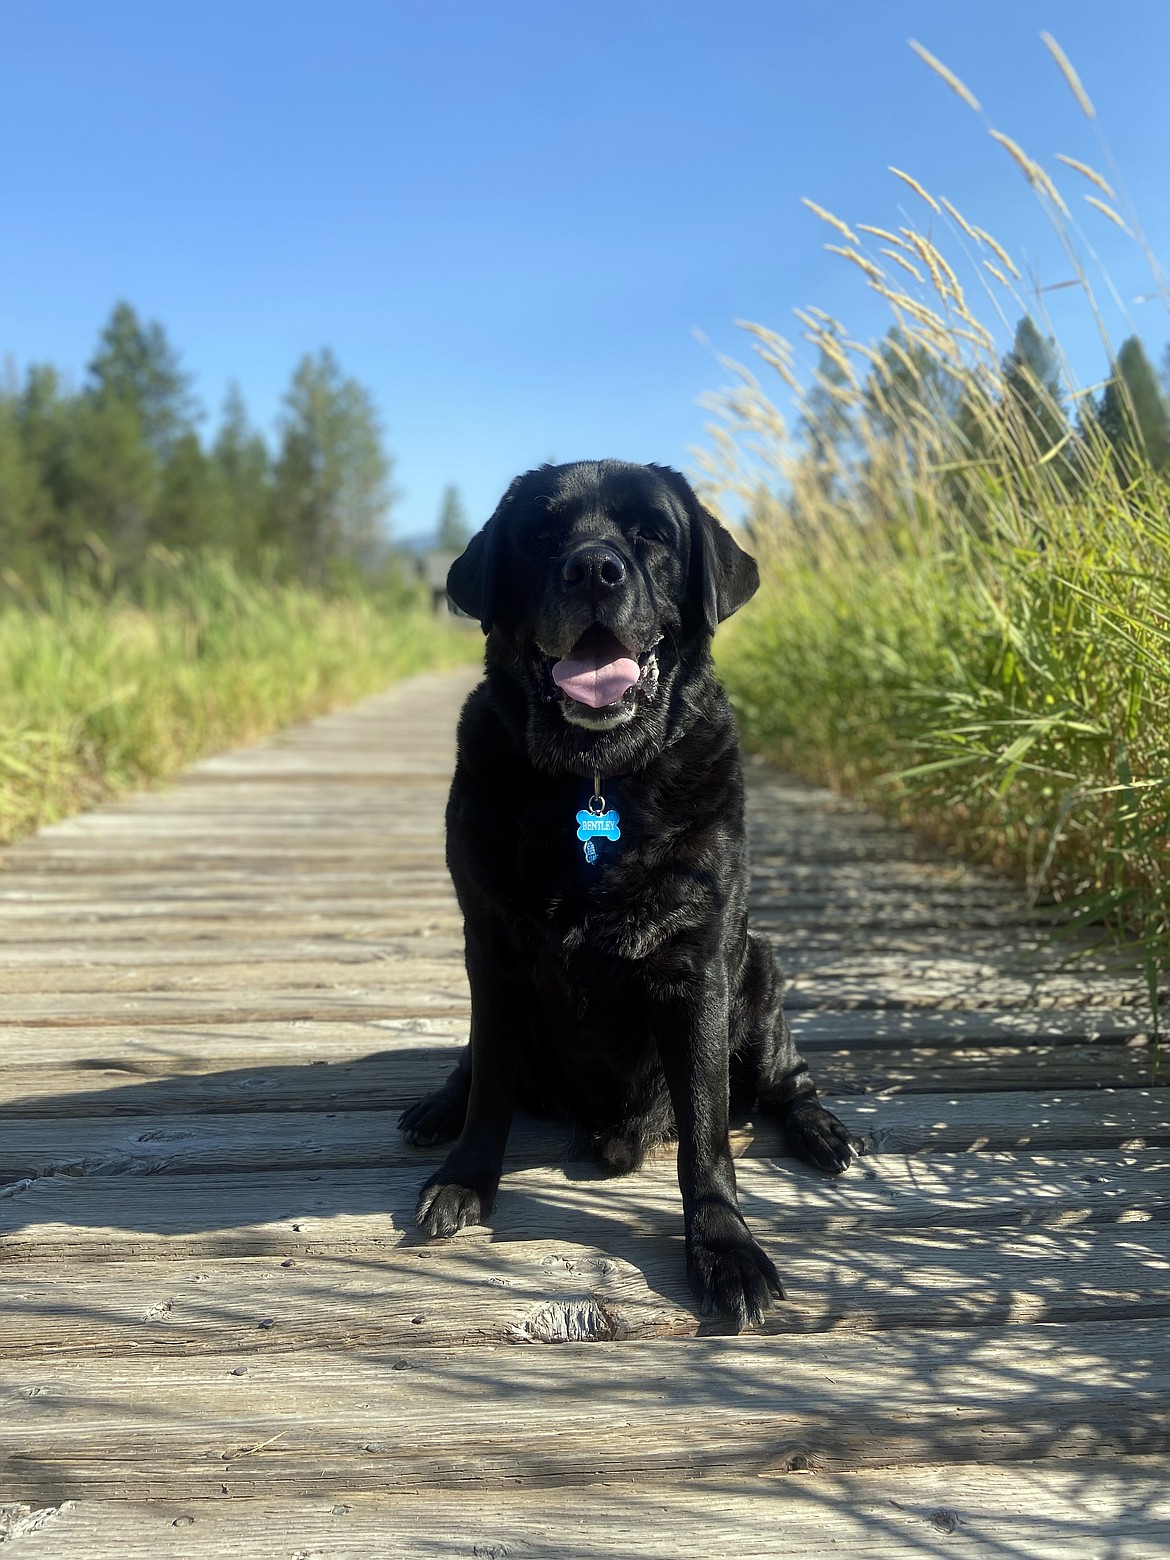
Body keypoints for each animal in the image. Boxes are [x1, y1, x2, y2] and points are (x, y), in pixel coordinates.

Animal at [402, 455, 854, 1322]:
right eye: (542, 535)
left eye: (651, 534)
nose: (592, 568)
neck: (596, 781)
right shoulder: (493, 955)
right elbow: (490, 1087)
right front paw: (465, 1177)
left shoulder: (697, 969)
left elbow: (707, 1138)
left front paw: (724, 1247)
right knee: (473, 1064)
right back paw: (436, 1104)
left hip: (759, 973)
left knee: (788, 1081)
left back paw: (822, 1131)